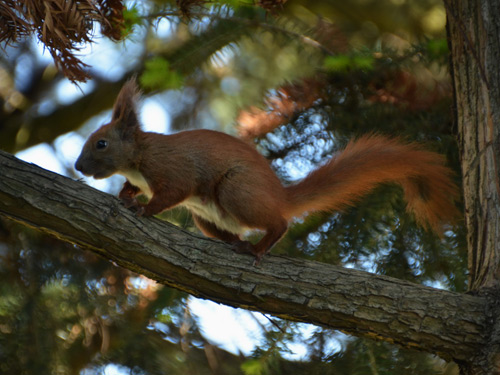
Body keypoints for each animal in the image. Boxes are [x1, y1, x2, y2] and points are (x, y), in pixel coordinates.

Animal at [72, 78, 458, 262]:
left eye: (101, 143)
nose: (77, 166)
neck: (139, 156)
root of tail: (279, 196)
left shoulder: (172, 169)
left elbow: (171, 193)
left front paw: (142, 208)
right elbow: (136, 187)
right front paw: (126, 195)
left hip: (236, 191)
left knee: (279, 224)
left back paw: (258, 249)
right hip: (207, 216)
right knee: (232, 231)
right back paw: (236, 243)